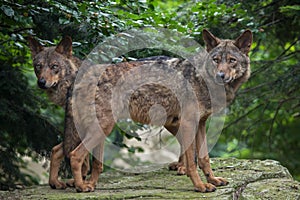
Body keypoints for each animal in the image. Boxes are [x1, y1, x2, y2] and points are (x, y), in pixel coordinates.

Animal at [62, 28, 252, 193]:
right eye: (216, 60)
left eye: (232, 60)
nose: (220, 76)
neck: (202, 78)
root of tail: (81, 75)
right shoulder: (189, 123)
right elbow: (192, 162)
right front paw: (200, 186)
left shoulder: (201, 124)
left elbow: (204, 158)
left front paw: (213, 180)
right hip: (103, 127)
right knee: (75, 155)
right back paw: (81, 187)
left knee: (95, 163)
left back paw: (90, 185)